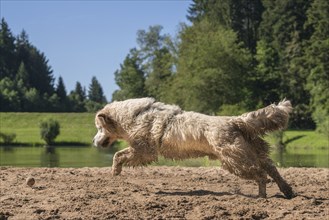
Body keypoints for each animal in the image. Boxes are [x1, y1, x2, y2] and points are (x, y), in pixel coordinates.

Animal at [92, 97, 292, 199]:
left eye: (99, 128)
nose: (93, 141)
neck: (134, 116)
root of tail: (234, 120)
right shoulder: (140, 150)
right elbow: (119, 153)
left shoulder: (143, 150)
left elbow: (118, 154)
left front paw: (115, 170)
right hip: (251, 153)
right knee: (272, 169)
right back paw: (287, 191)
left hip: (235, 160)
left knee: (261, 174)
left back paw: (261, 196)